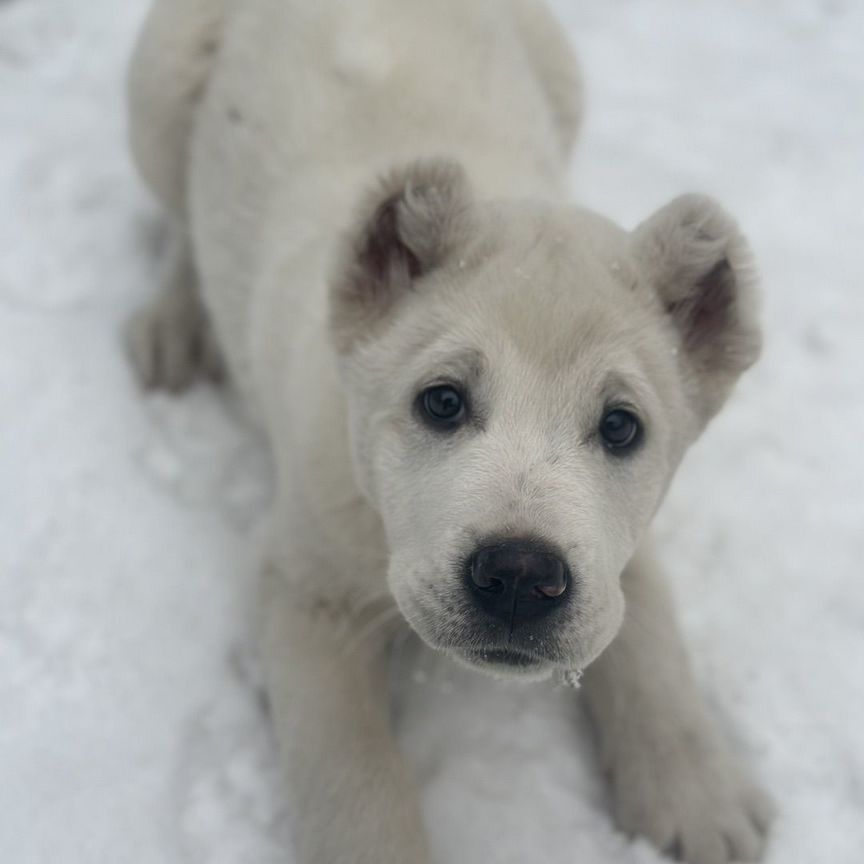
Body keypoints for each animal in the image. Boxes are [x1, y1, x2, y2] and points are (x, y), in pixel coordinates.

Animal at [125, 1, 772, 864]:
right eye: (441, 402)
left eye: (620, 425)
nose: (521, 575)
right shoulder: (305, 582)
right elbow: (348, 768)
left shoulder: (617, 543)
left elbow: (648, 628)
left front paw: (696, 793)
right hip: (161, 85)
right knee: (179, 213)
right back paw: (176, 322)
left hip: (559, 70)